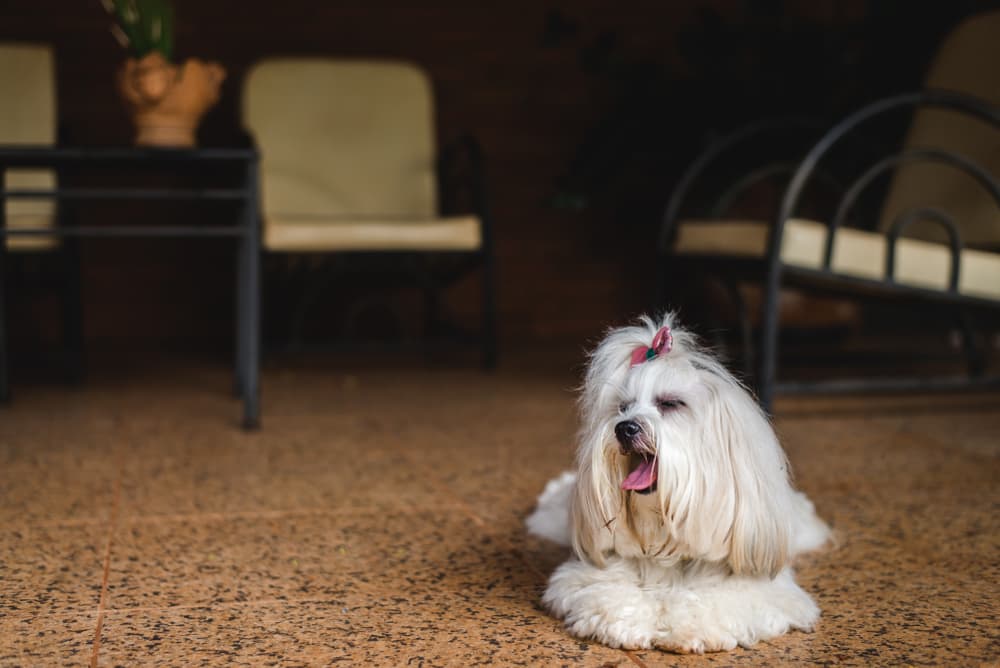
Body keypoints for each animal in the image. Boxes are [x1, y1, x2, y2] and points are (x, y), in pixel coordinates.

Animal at [528, 314, 832, 652]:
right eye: (623, 407)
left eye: (671, 403)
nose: (624, 428)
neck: (668, 542)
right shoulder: (594, 573)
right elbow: (612, 592)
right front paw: (628, 624)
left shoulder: (758, 588)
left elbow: (715, 603)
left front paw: (689, 628)